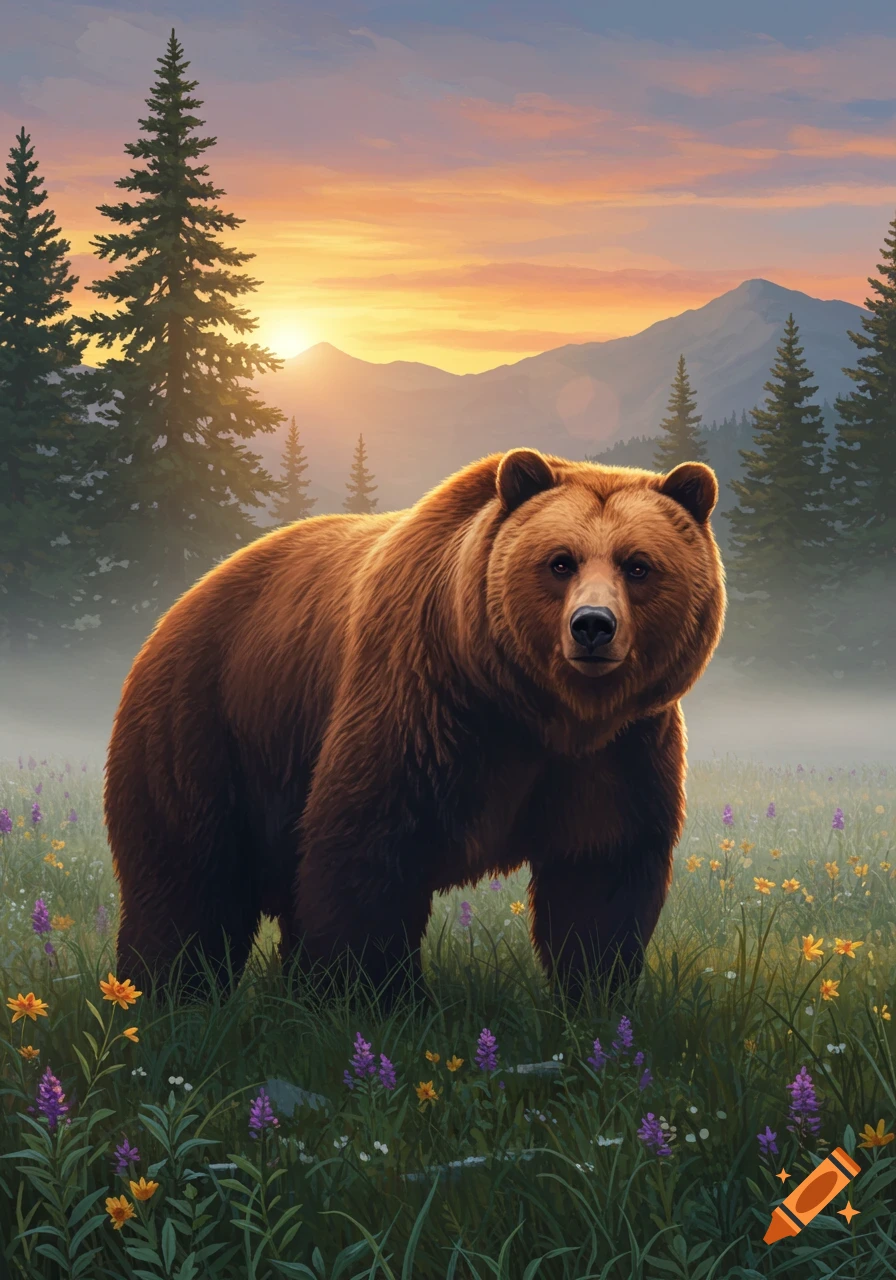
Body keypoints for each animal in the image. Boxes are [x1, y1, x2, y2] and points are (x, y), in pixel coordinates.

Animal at [105, 448, 726, 1010]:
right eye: (560, 561)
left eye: (638, 564)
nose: (593, 625)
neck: (535, 712)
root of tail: (180, 604)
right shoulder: (422, 703)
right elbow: (368, 851)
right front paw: (376, 998)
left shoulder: (619, 751)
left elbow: (602, 873)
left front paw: (594, 996)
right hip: (205, 725)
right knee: (188, 879)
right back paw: (169, 993)